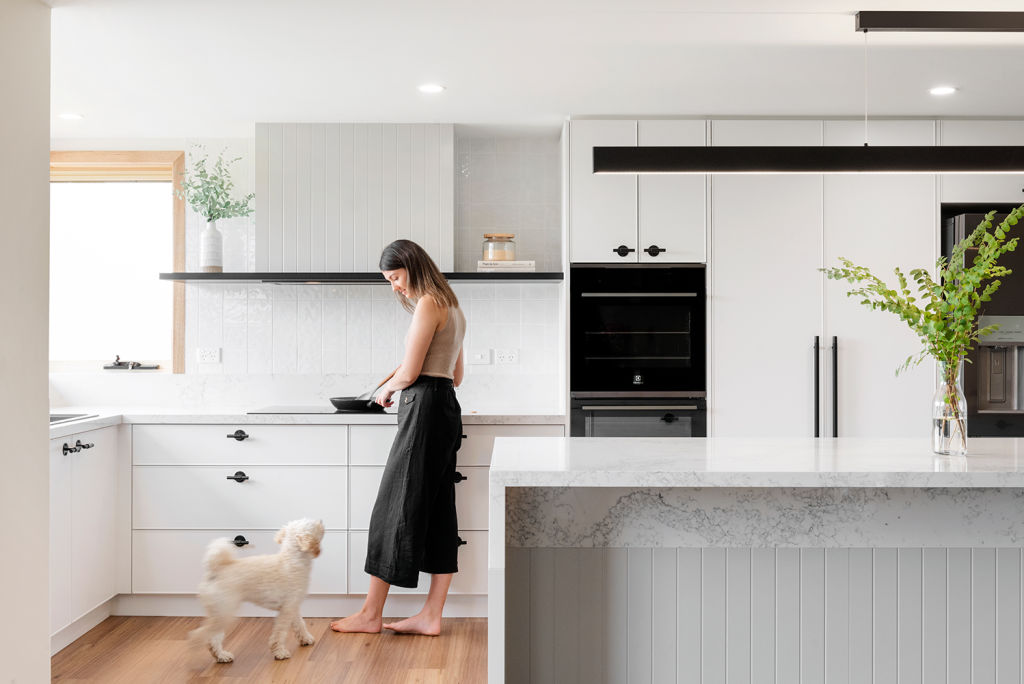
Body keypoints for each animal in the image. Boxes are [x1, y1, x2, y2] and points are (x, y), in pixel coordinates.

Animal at [189, 518, 323, 663]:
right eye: (315, 524)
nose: (321, 520)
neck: (293, 559)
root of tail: (216, 569)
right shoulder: (287, 610)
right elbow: (279, 634)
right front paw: (279, 652)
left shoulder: (293, 606)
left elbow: (300, 624)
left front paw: (305, 638)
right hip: (225, 611)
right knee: (204, 633)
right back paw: (195, 643)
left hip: (219, 611)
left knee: (213, 636)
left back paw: (221, 655)